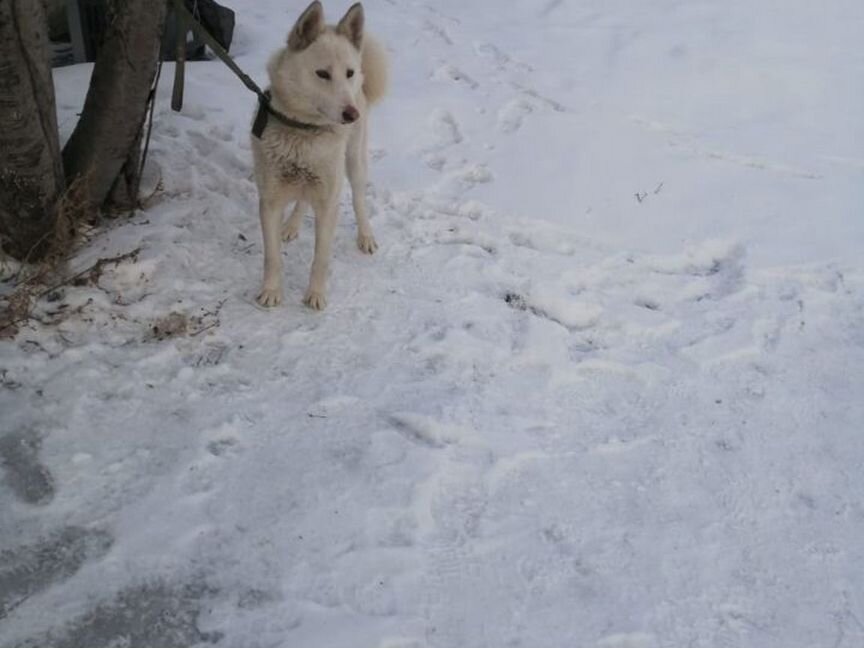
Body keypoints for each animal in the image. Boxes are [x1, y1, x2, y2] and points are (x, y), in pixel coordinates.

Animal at [253, 0, 388, 308]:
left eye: (348, 72)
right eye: (323, 74)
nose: (352, 114)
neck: (304, 131)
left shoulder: (328, 204)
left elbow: (321, 258)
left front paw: (315, 294)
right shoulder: (269, 200)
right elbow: (272, 256)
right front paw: (271, 291)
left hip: (353, 163)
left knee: (359, 199)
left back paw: (365, 236)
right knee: (303, 200)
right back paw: (291, 226)